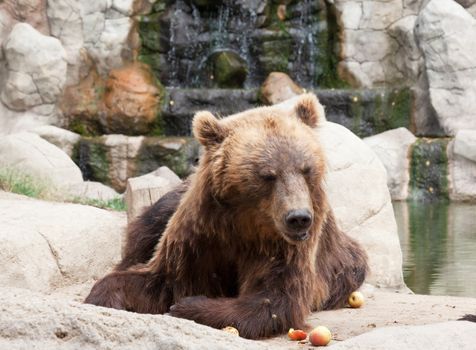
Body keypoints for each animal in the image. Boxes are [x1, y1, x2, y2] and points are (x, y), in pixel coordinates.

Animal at [84, 93, 368, 340]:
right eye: (268, 175)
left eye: (306, 168)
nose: (298, 217)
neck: (246, 221)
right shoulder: (201, 234)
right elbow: (161, 278)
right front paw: (104, 297)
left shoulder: (282, 247)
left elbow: (273, 299)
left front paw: (188, 306)